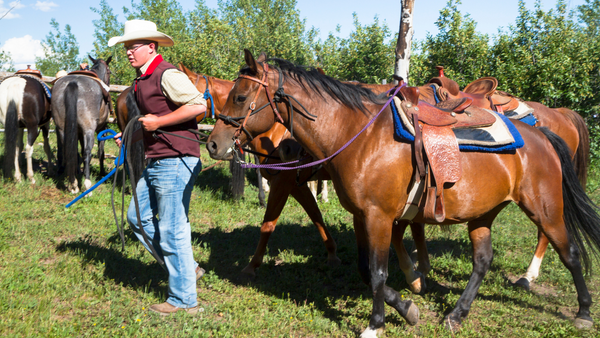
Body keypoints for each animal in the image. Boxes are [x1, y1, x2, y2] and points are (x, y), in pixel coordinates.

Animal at [51, 55, 112, 193]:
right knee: (87, 152)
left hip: (62, 128)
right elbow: (100, 152)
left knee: (67, 151)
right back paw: (87, 184)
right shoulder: (102, 128)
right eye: (109, 71)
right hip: (89, 129)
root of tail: (73, 83)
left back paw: (72, 183)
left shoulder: (78, 132)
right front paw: (101, 172)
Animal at [206, 49, 600, 336]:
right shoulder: (362, 216)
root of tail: (542, 134)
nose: (213, 144)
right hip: (482, 214)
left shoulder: (379, 217)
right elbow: (366, 270)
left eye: (240, 96)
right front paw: (409, 309)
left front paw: (376, 324)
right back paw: (457, 314)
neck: (360, 135)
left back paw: (581, 310)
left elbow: (379, 272)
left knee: (570, 253)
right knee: (482, 261)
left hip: (545, 209)